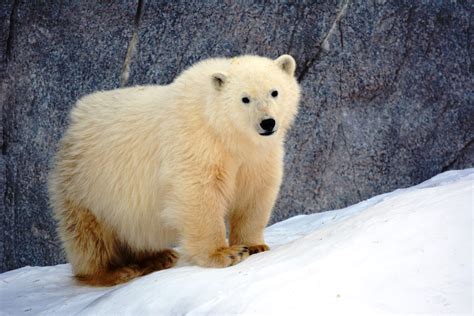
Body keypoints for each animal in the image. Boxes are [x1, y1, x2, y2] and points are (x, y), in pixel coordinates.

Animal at [48, 54, 300, 286]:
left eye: (274, 92)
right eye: (245, 98)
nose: (267, 123)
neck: (223, 131)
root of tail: (73, 124)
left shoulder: (256, 157)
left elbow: (255, 192)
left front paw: (255, 245)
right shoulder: (195, 140)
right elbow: (199, 192)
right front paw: (225, 253)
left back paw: (159, 257)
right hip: (85, 184)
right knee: (89, 235)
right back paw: (115, 272)